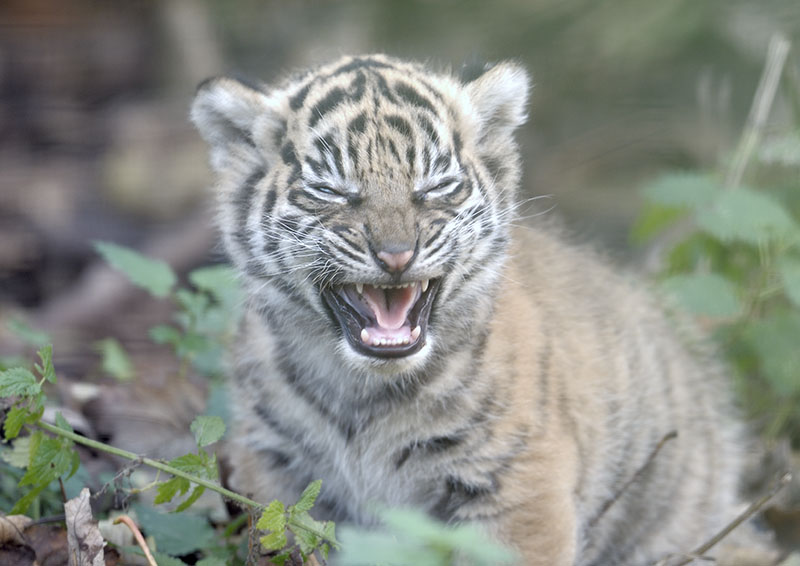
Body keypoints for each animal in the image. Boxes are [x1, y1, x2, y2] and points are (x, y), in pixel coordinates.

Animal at [190, 54, 743, 565]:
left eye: (434, 186)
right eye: (330, 190)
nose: (396, 255)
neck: (362, 394)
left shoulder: (515, 485)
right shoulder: (275, 473)